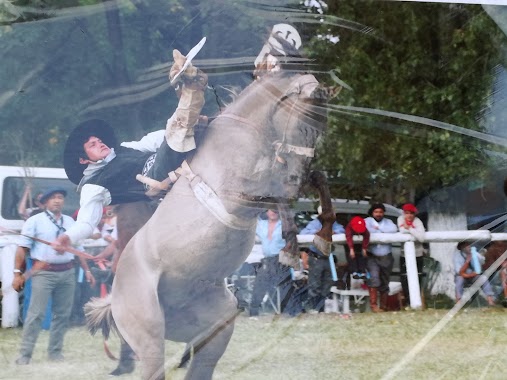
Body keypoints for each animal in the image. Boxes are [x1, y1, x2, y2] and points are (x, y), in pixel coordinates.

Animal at [86, 70, 330, 378]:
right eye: (304, 120)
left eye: (321, 126)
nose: (296, 177)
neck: (240, 134)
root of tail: (115, 296)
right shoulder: (244, 193)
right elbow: (280, 197)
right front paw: (291, 250)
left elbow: (318, 180)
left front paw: (321, 239)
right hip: (150, 335)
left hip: (214, 329)